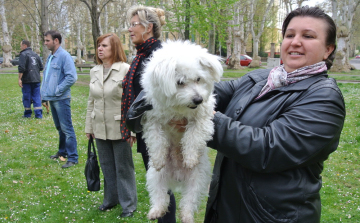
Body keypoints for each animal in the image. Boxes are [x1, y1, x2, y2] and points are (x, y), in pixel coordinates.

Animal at [140, 40, 222, 223]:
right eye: (180, 82)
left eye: (198, 79)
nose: (198, 99)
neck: (179, 108)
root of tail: (177, 177)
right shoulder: (152, 118)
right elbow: (157, 139)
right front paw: (158, 157)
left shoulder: (202, 118)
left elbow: (193, 136)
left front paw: (190, 157)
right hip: (156, 177)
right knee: (160, 196)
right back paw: (156, 211)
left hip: (197, 179)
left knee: (189, 201)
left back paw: (186, 216)